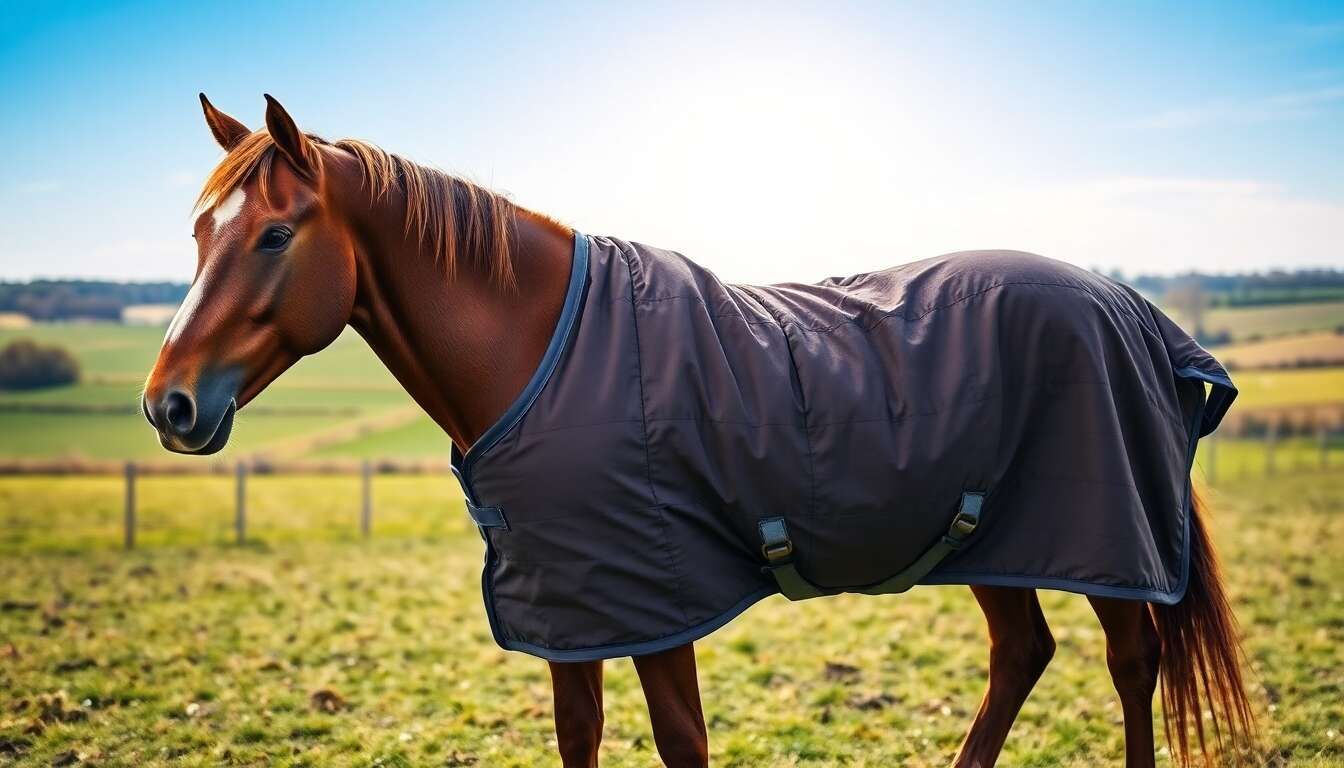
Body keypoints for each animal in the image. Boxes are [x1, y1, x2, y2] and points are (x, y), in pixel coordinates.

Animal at [143, 94, 1254, 767]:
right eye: (199, 233)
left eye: (275, 235)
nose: (169, 405)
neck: (543, 350)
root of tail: (1128, 309)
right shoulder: (578, 608)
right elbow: (580, 737)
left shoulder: (657, 597)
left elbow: (681, 742)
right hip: (992, 538)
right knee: (1022, 654)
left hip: (1103, 542)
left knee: (1132, 665)